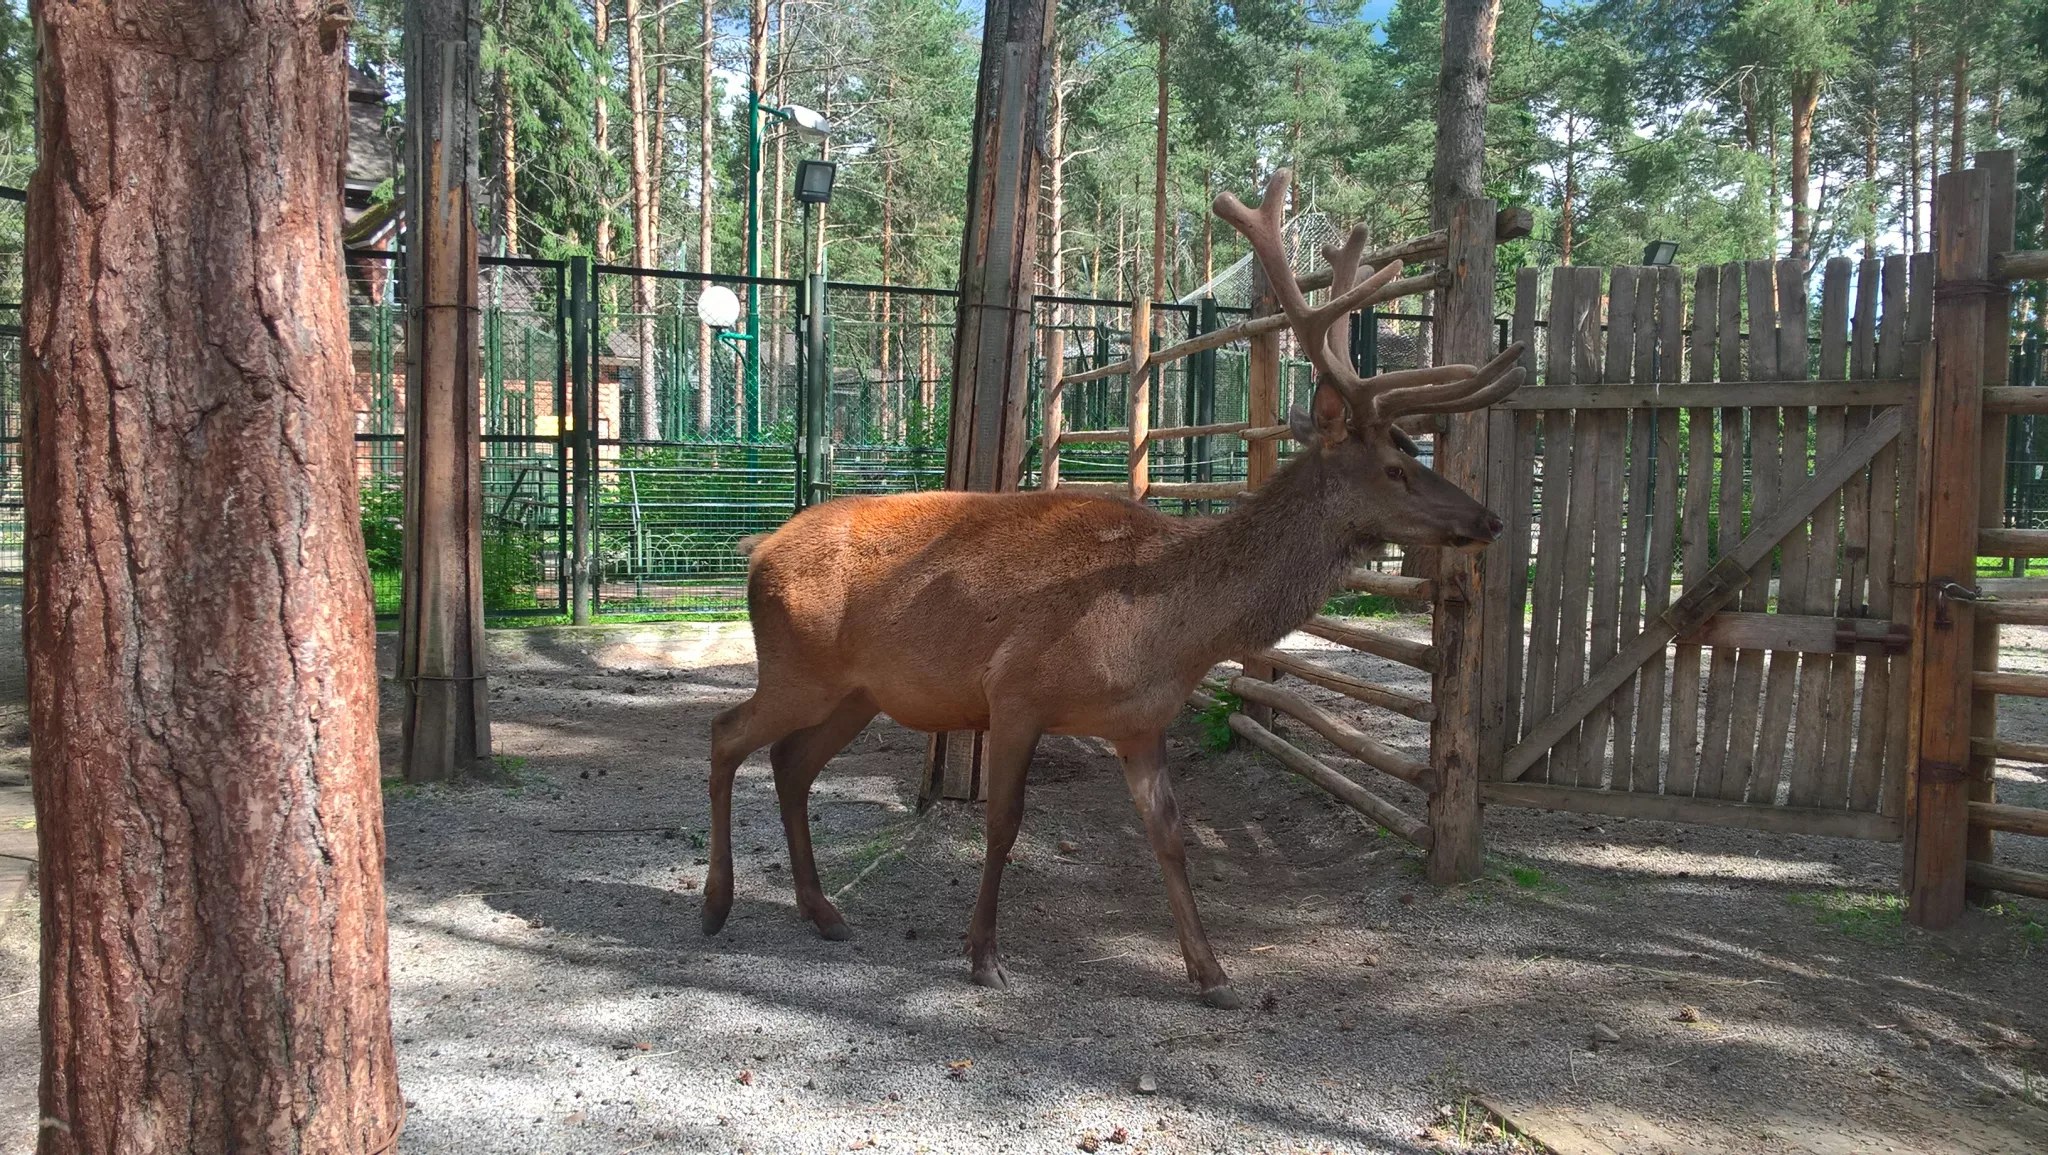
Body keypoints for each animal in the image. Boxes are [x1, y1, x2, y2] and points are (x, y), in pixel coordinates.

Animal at [701, 169, 1526, 1009]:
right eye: (1395, 466)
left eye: (1414, 451)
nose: (1487, 518)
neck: (1170, 633)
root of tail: (758, 549)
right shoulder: (1015, 691)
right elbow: (1004, 822)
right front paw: (984, 954)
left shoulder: (1140, 722)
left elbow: (1170, 834)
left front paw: (1212, 972)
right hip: (798, 666)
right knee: (727, 733)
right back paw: (716, 904)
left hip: (860, 689)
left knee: (790, 762)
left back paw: (822, 909)